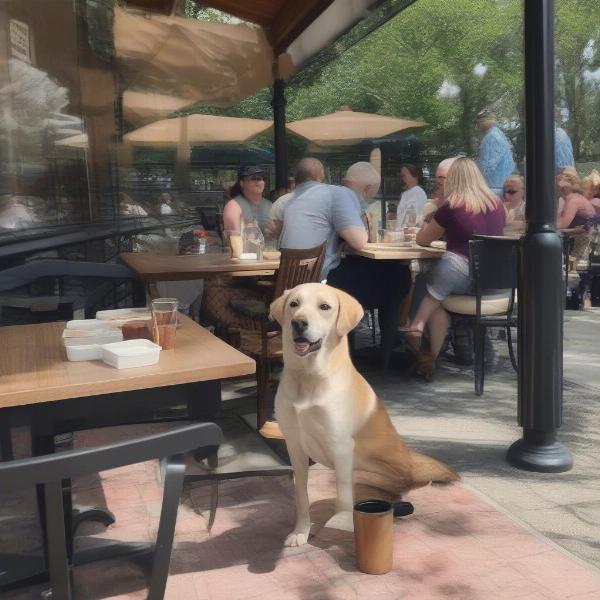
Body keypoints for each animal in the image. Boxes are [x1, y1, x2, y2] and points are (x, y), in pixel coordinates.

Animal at [270, 284, 460, 548]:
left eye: (324, 307)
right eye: (294, 304)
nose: (298, 323)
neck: (307, 377)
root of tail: (411, 464)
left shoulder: (341, 446)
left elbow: (343, 500)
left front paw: (342, 528)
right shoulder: (295, 446)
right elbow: (301, 495)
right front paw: (301, 531)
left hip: (362, 469)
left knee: (387, 501)